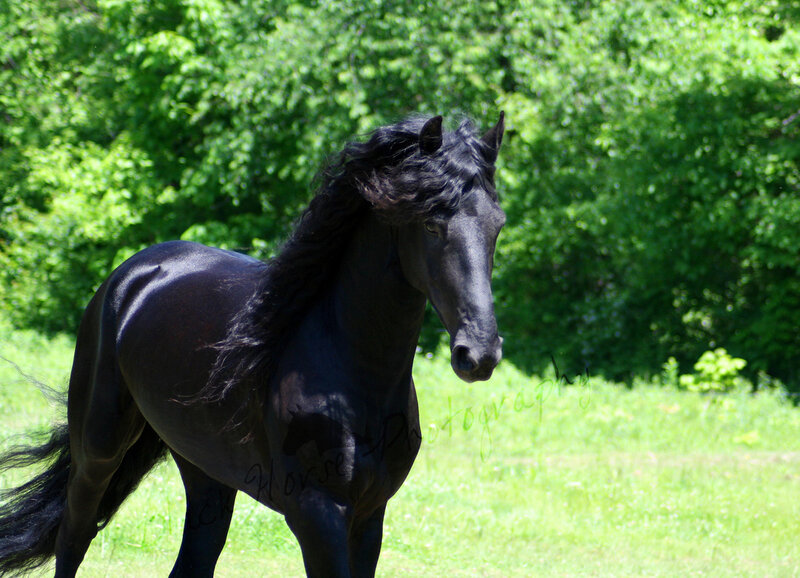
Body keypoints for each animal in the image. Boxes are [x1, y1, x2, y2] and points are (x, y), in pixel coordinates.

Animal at [0, 113, 506, 577]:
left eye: (496, 226)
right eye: (432, 224)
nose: (479, 354)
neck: (354, 376)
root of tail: (130, 276)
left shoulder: (369, 515)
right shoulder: (317, 514)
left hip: (206, 474)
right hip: (98, 450)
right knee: (74, 535)